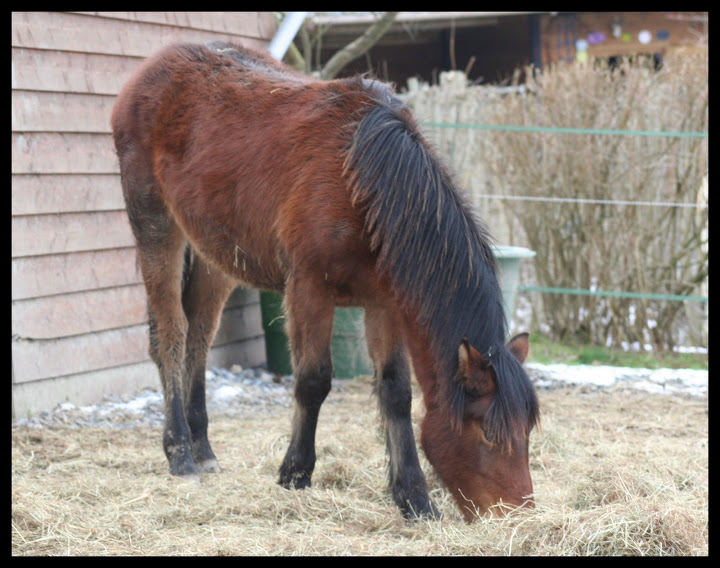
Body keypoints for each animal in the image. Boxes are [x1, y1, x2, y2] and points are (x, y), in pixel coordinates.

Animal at [112, 40, 540, 520]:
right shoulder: (308, 289)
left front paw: (413, 497)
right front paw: (295, 473)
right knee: (171, 333)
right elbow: (313, 381)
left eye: (527, 432)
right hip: (155, 224)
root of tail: (156, 64)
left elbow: (395, 393)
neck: (364, 180)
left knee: (200, 337)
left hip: (214, 252)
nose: (520, 514)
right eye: (487, 433)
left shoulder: (384, 303)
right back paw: (181, 453)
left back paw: (202, 446)